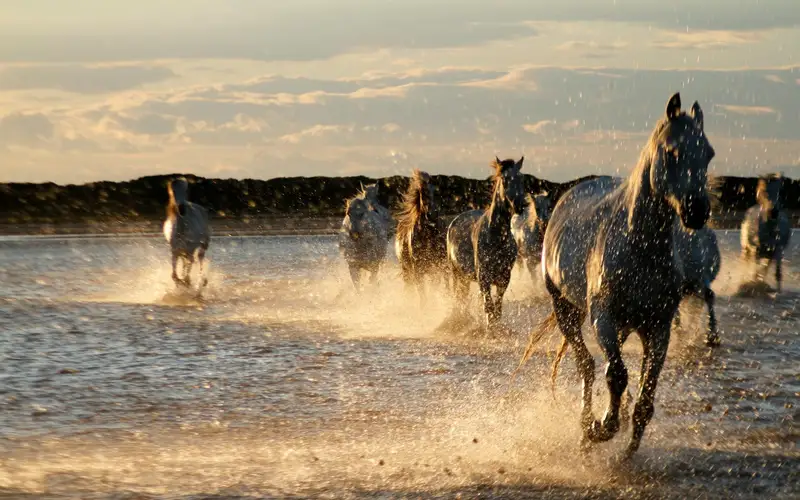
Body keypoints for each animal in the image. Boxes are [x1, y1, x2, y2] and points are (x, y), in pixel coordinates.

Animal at [395, 169, 448, 303]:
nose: (432, 215)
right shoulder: (418, 270)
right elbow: (422, 295)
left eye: (436, 192)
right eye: (423, 193)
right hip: (407, 270)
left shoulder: (438, 267)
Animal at [446, 156, 527, 329]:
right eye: (504, 179)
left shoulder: (504, 278)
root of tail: (454, 221)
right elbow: (488, 306)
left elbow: (497, 307)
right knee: (458, 298)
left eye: (521, 178)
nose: (520, 205)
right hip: (455, 273)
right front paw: (490, 330)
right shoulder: (484, 277)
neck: (496, 237)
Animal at [519, 93, 714, 459]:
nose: (697, 211)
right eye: (672, 151)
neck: (639, 246)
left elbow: (646, 394)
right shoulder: (603, 318)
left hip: (622, 326)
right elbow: (617, 374)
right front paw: (602, 427)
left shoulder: (658, 327)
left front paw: (628, 448)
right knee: (587, 366)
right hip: (568, 312)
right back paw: (586, 427)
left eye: (708, 153)